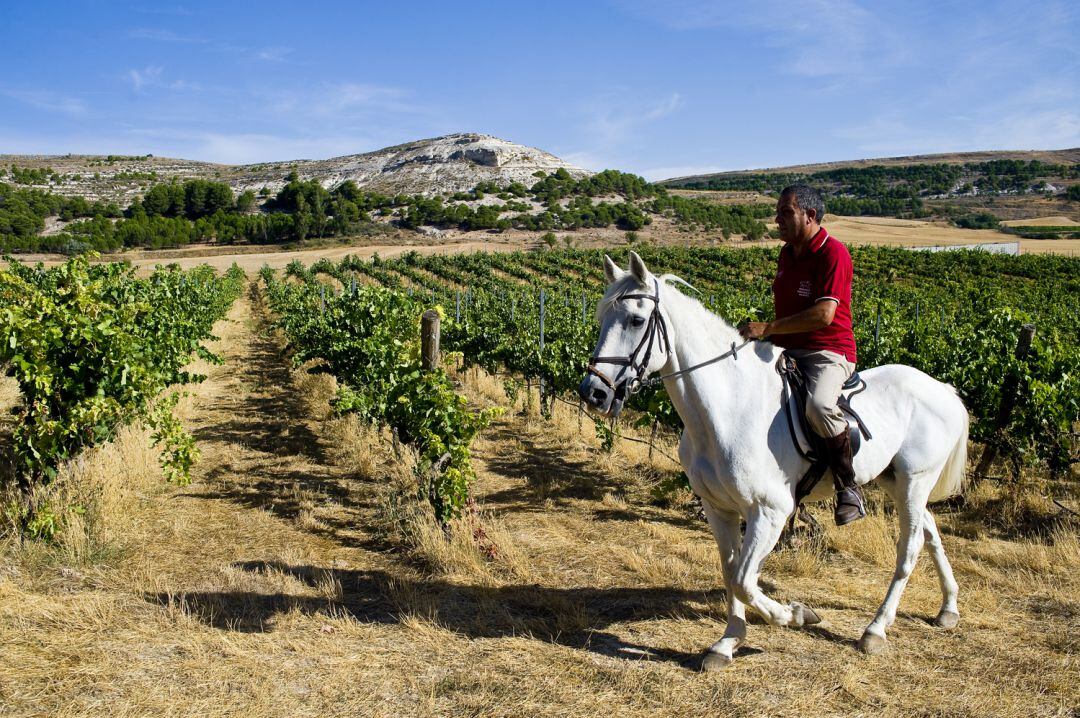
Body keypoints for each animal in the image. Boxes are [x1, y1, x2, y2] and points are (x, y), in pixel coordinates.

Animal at [583, 250, 972, 665]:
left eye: (636, 320)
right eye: (601, 318)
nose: (593, 393)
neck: (728, 406)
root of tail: (943, 388)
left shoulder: (769, 512)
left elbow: (743, 580)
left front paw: (796, 614)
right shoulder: (718, 508)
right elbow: (731, 572)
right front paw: (728, 642)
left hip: (915, 481)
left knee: (910, 548)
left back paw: (875, 629)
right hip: (896, 481)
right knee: (930, 533)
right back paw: (948, 608)